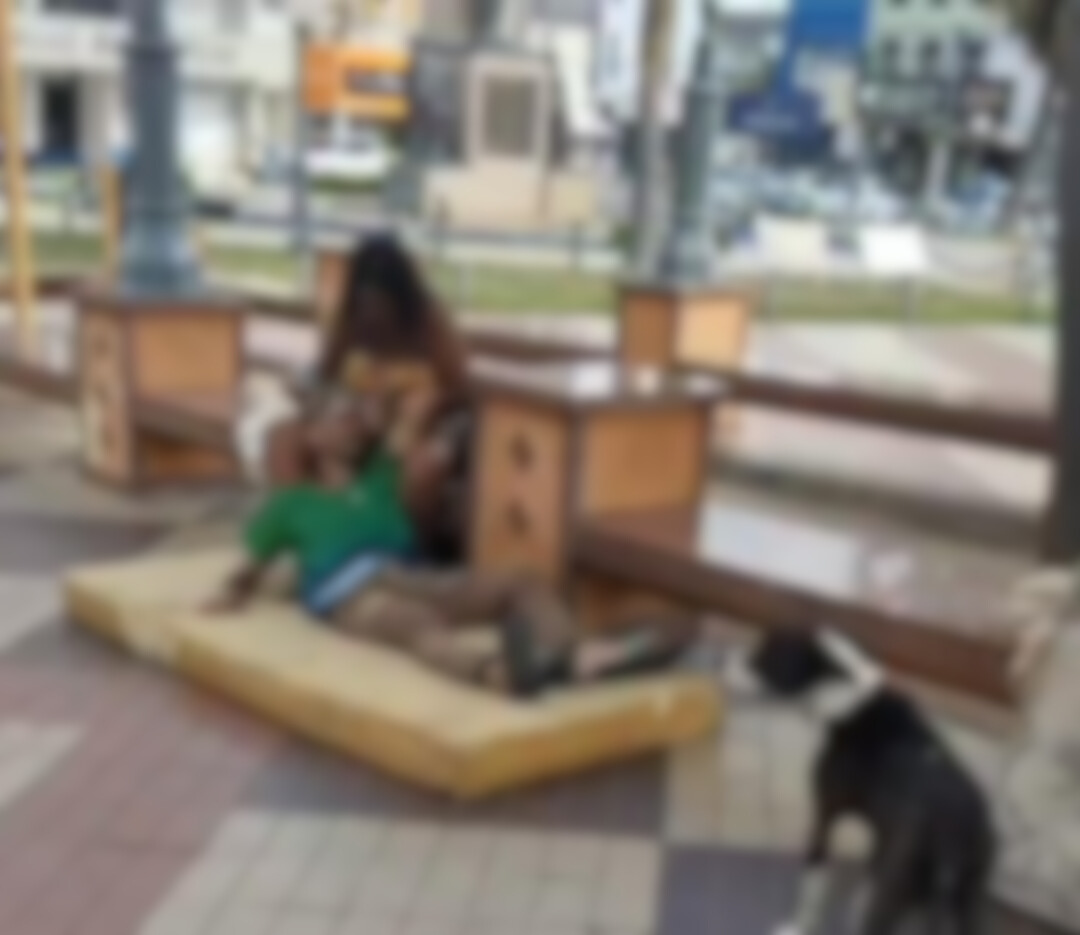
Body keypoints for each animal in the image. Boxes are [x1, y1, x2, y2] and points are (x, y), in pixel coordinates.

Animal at [724, 628, 995, 935]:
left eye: (764, 656)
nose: (725, 662)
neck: (849, 699)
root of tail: (952, 837)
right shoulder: (878, 838)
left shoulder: (825, 815)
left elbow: (812, 883)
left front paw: (798, 926)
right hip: (969, 902)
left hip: (892, 891)